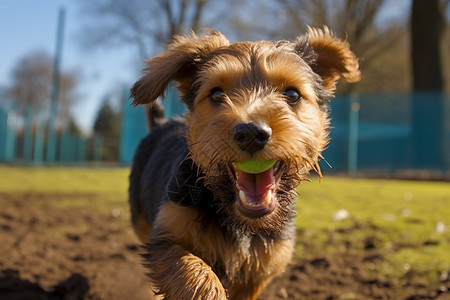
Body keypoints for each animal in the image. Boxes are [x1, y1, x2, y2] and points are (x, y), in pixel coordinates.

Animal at [128, 27, 360, 298]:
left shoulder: (261, 268)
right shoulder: (166, 237)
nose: (250, 133)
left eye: (292, 94)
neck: (241, 223)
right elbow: (194, 273)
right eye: (217, 94)